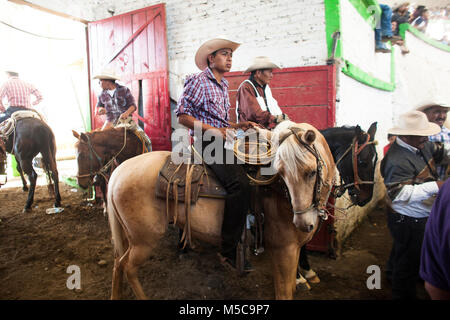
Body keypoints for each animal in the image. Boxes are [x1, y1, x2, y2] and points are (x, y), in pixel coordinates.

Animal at [105, 121, 336, 298]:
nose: (304, 223)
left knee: (117, 263)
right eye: (281, 172)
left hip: (130, 237)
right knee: (128, 267)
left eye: (311, 172)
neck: (279, 193)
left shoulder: (294, 250)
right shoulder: (283, 251)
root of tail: (119, 171)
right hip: (144, 240)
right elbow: (284, 292)